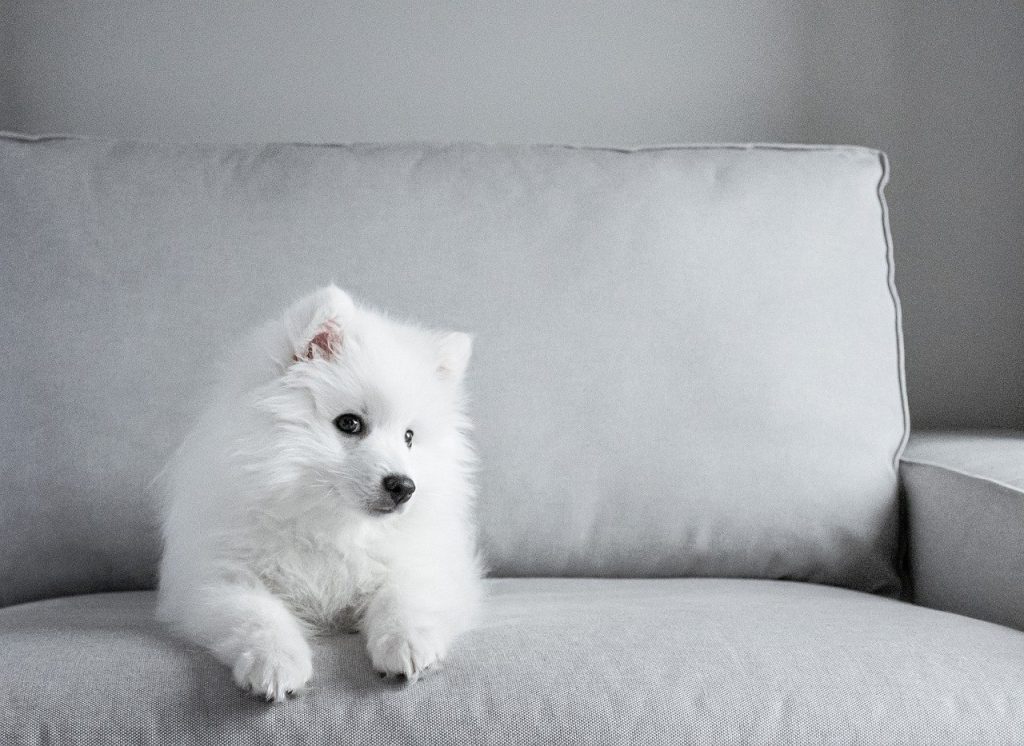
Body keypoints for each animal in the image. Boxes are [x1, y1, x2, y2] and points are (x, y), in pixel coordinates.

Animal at [156, 284, 483, 699]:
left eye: (409, 437)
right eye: (350, 423)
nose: (404, 486)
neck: (329, 524)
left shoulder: (426, 564)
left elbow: (403, 596)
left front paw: (409, 645)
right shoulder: (215, 578)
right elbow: (256, 613)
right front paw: (275, 664)